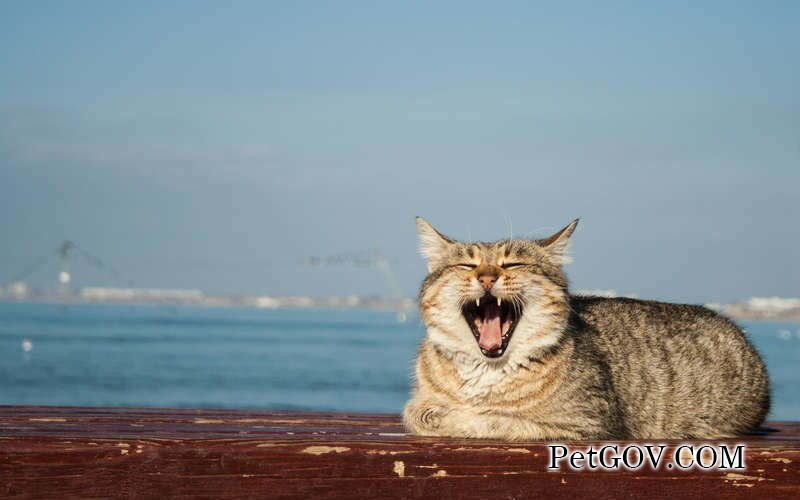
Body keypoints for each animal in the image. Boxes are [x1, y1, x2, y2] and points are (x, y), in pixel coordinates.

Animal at [404, 217, 772, 440]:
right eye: (466, 265)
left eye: (514, 263)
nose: (486, 277)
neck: (487, 371)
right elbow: (416, 411)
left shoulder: (584, 424)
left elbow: (491, 420)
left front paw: (454, 416)